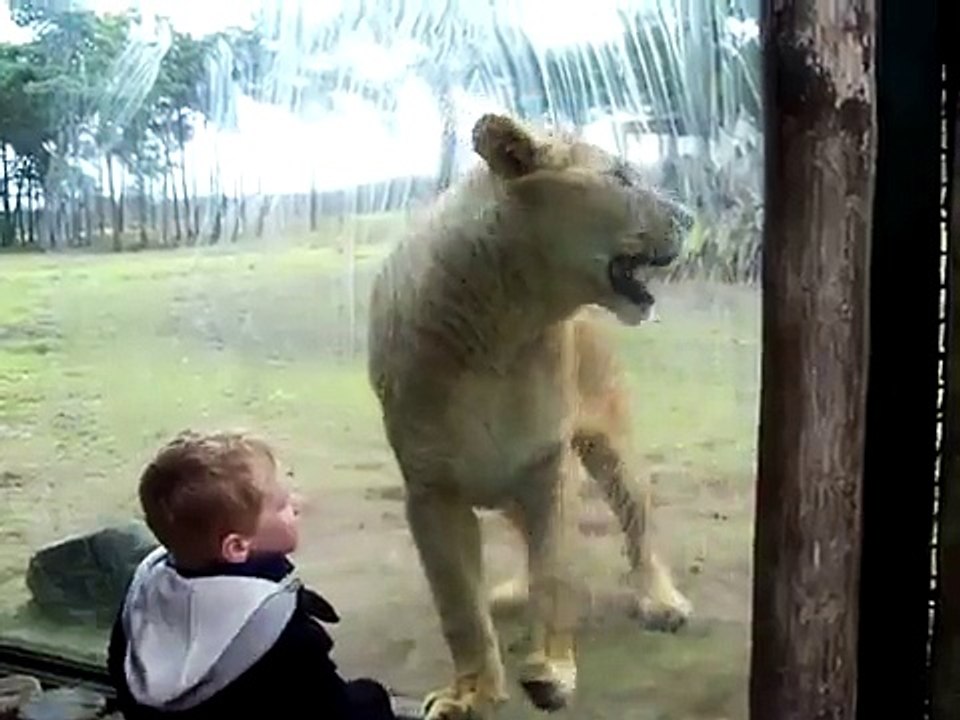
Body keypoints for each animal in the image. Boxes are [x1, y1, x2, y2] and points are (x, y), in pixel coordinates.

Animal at [367, 113, 694, 720]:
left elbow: (555, 577)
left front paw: (553, 674)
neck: (502, 328)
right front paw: (471, 693)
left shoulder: (547, 468)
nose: (689, 216)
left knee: (638, 527)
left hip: (609, 447)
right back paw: (511, 592)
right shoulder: (430, 491)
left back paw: (661, 601)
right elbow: (458, 609)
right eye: (619, 176)